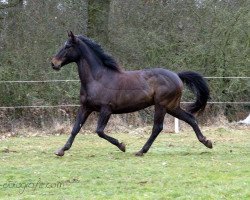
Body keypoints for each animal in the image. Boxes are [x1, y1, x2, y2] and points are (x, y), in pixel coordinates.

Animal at [51, 31, 213, 156]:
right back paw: (207, 142)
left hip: (161, 105)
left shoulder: (106, 109)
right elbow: (75, 128)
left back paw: (141, 151)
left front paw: (122, 146)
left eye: (68, 46)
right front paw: (61, 150)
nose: (54, 63)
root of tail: (177, 75)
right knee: (190, 118)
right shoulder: (86, 107)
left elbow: (99, 131)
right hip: (172, 107)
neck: (97, 79)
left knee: (157, 128)